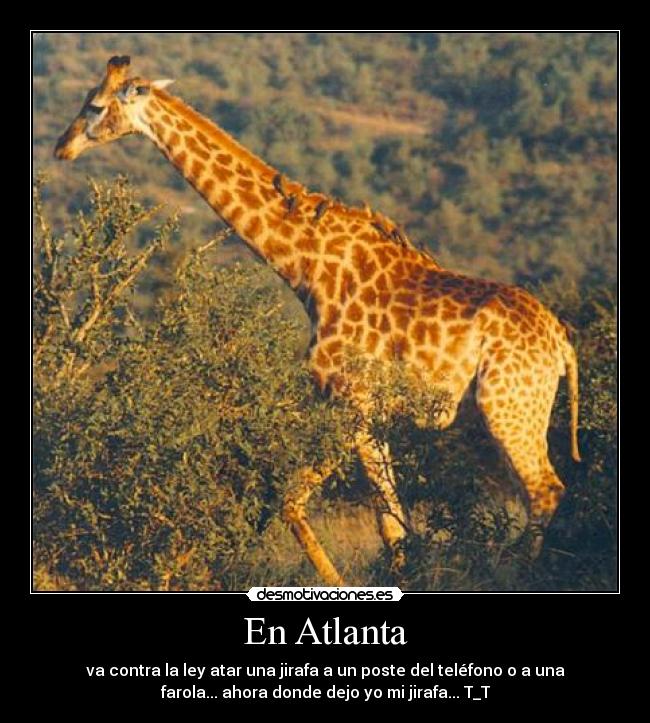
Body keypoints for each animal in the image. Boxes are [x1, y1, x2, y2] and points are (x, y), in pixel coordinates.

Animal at [53, 56, 581, 586]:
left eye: (95, 105)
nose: (62, 147)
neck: (306, 268)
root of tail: (562, 345)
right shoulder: (369, 411)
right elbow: (391, 522)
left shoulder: (346, 398)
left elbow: (294, 502)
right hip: (514, 410)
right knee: (534, 492)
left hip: (507, 405)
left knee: (545, 489)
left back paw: (517, 576)